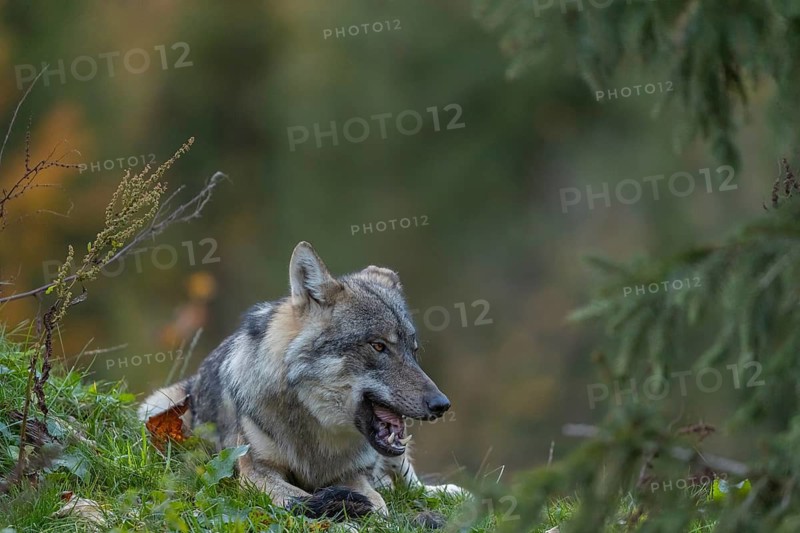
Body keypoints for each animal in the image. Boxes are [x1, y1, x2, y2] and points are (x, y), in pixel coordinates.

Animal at [139, 241, 463, 523]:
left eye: (413, 350)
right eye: (378, 346)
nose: (442, 404)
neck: (316, 430)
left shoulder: (354, 474)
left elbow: (379, 502)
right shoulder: (256, 471)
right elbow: (300, 499)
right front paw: (337, 509)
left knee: (411, 484)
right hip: (157, 407)